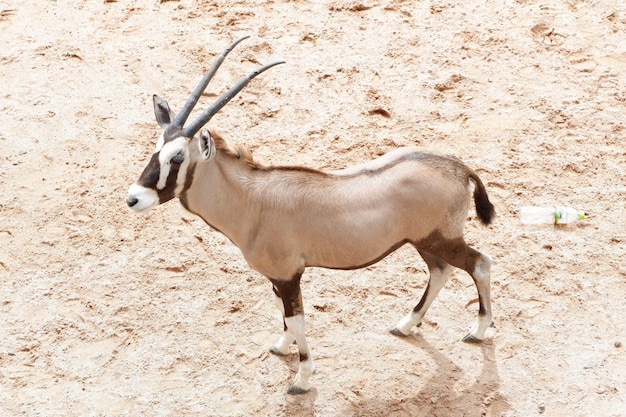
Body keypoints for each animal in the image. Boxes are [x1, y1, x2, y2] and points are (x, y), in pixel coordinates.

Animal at [127, 36, 494, 394]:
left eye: (176, 158)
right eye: (155, 149)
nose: (134, 198)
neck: (252, 200)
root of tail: (458, 167)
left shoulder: (289, 276)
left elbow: (297, 319)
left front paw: (301, 379)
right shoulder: (277, 278)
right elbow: (285, 315)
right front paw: (281, 347)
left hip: (440, 239)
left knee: (480, 263)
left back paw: (477, 330)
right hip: (423, 242)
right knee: (441, 271)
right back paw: (406, 325)